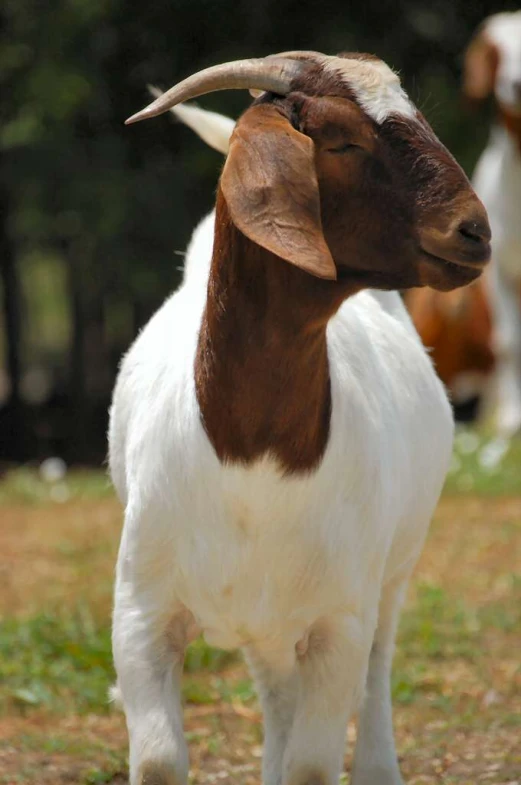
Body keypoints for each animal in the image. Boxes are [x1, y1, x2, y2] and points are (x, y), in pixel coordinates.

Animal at [108, 52, 488, 784]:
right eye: (340, 142)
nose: (476, 232)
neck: (253, 459)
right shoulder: (141, 612)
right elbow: (162, 759)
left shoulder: (339, 619)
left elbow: (312, 763)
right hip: (268, 620)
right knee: (276, 692)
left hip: (391, 570)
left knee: (376, 669)